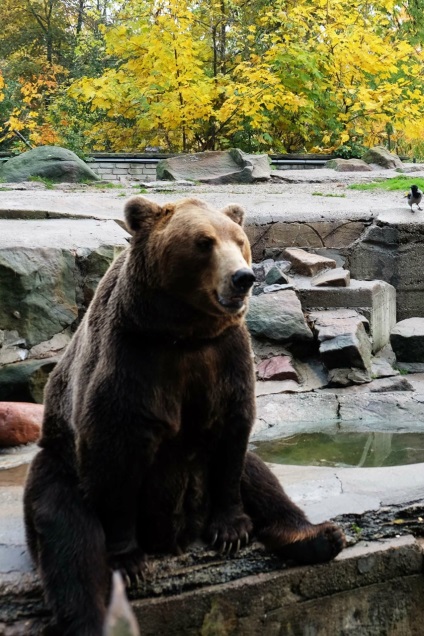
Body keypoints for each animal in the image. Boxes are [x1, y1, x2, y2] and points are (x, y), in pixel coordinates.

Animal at [23, 196, 344, 632]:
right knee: (69, 541)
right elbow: (114, 449)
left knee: (261, 478)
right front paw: (128, 561)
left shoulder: (225, 357)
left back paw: (319, 536)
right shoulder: (133, 356)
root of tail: (175, 538)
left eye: (240, 240)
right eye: (204, 242)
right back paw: (92, 617)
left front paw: (231, 530)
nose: (243, 278)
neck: (185, 333)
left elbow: (233, 436)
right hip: (58, 467)